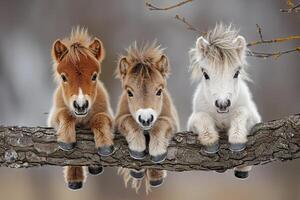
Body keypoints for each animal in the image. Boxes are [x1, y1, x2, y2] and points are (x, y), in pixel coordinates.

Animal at [47, 27, 114, 190]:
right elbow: (65, 114)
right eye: (64, 77)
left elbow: (99, 118)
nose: (81, 105)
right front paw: (66, 141)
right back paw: (75, 180)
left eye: (94, 76)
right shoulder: (53, 116)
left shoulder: (108, 115)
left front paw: (105, 146)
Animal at [116, 41, 179, 193]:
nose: (146, 119)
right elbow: (128, 120)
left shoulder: (171, 121)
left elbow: (161, 123)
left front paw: (157, 154)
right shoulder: (118, 120)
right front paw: (137, 149)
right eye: (129, 92)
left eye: (159, 91)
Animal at [188, 23, 260, 178]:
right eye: (205, 74)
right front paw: (210, 141)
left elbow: (241, 112)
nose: (222, 104)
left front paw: (237, 140)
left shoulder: (254, 118)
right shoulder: (192, 123)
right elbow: (201, 117)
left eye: (236, 73)